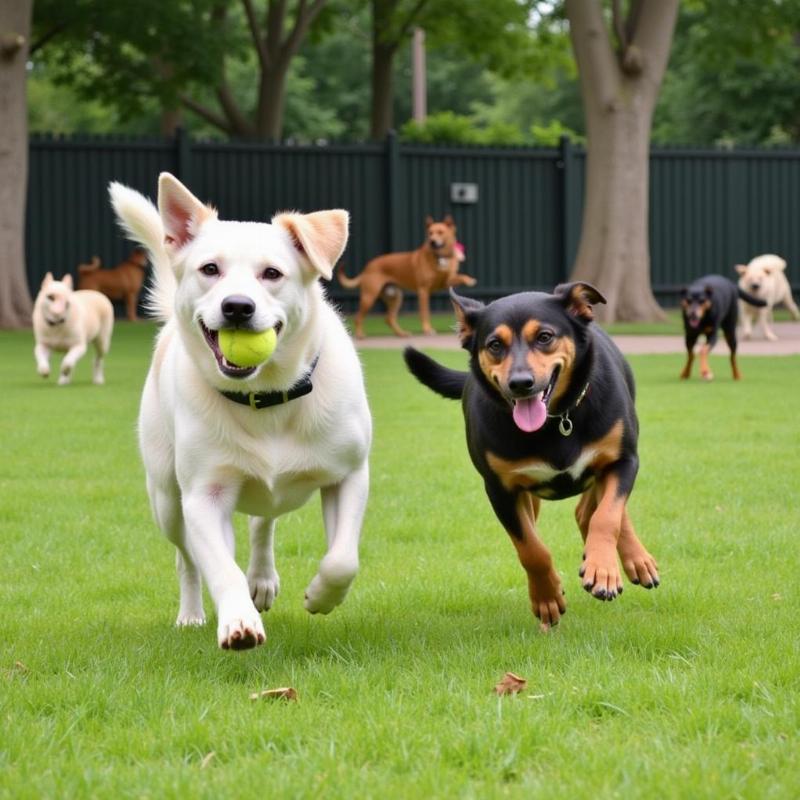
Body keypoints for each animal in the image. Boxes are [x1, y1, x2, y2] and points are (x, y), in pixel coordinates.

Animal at [109, 170, 372, 648]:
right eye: (210, 269)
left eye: (272, 273)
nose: (236, 307)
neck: (265, 397)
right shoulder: (202, 496)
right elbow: (219, 567)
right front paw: (238, 620)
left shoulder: (349, 474)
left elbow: (343, 559)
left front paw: (321, 596)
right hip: (166, 498)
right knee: (188, 559)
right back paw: (193, 613)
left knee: (261, 522)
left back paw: (262, 578)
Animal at [336, 214, 476, 336]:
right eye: (430, 233)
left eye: (440, 232)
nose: (432, 241)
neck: (440, 257)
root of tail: (368, 267)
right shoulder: (423, 291)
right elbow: (425, 313)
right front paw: (427, 329)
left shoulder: (446, 282)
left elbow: (459, 277)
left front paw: (469, 280)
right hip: (369, 297)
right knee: (358, 317)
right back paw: (360, 334)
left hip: (395, 298)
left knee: (388, 319)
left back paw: (401, 333)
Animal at [404, 284, 660, 628]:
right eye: (495, 345)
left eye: (544, 336)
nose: (520, 383)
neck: (556, 420)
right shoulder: (501, 489)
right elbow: (531, 548)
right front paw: (547, 597)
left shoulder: (623, 460)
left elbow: (608, 517)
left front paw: (603, 569)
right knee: (575, 515)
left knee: (597, 510)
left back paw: (635, 559)